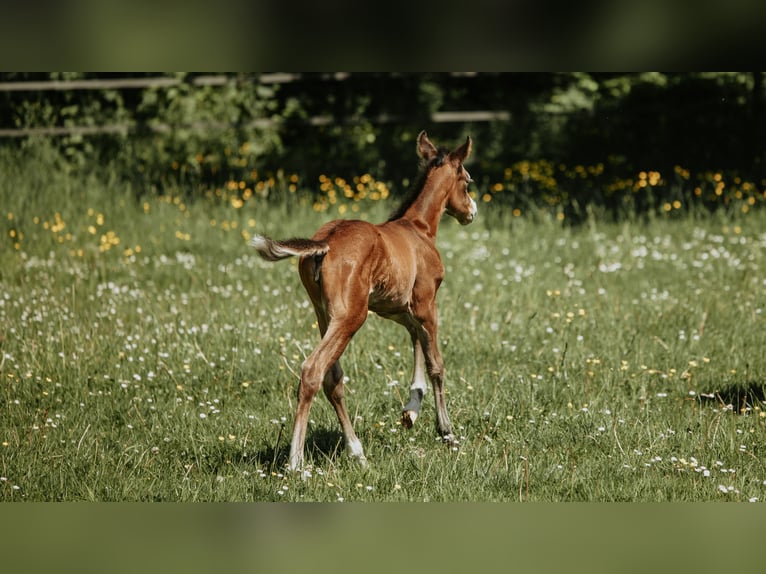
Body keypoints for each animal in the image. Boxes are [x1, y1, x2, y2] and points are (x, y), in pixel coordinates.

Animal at [251, 131, 476, 472]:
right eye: (467, 181)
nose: (471, 212)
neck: (419, 229)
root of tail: (325, 242)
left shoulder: (394, 307)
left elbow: (415, 339)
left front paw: (411, 410)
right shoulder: (426, 302)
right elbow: (436, 362)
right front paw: (447, 433)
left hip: (325, 314)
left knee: (332, 379)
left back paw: (355, 450)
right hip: (351, 316)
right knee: (312, 371)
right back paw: (296, 463)